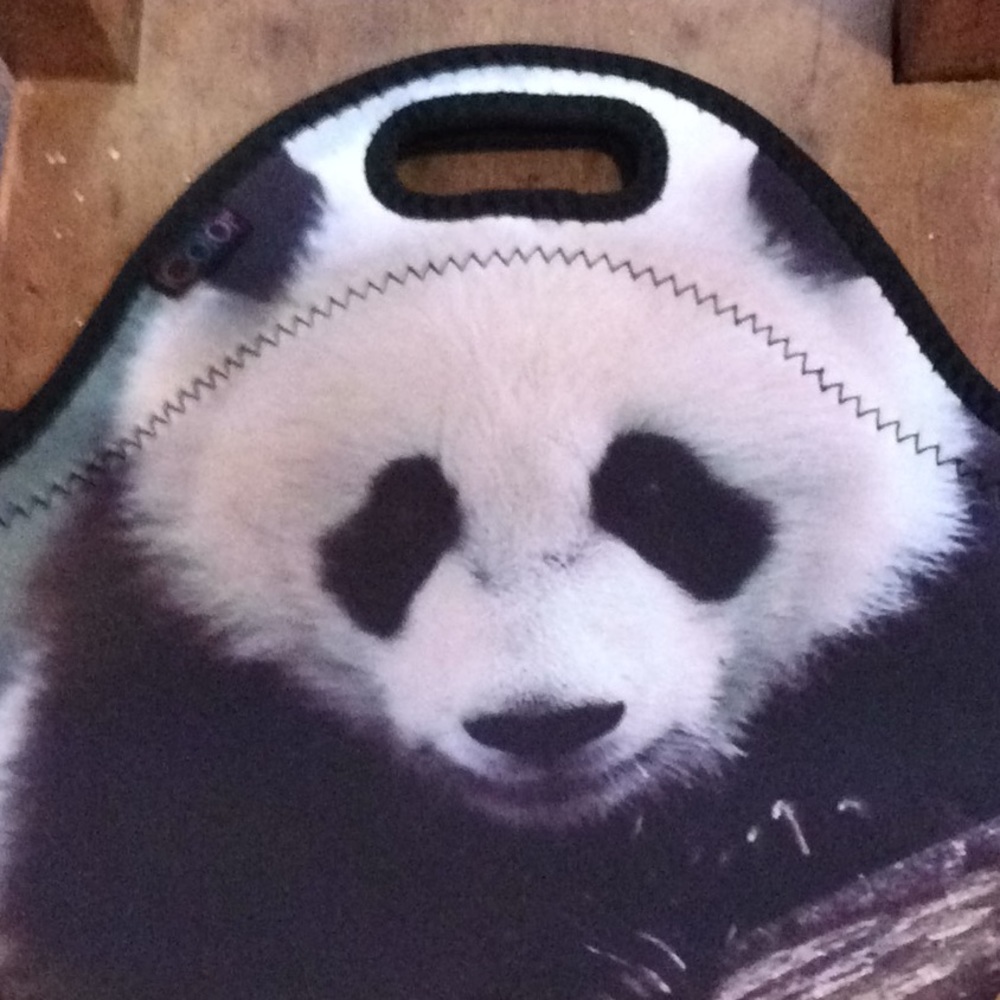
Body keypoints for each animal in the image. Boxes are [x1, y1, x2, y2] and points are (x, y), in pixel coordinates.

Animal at [1, 133, 1000, 1000]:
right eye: (404, 518)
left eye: (655, 493)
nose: (545, 726)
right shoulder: (157, 636)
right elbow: (189, 890)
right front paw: (581, 952)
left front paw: (790, 825)